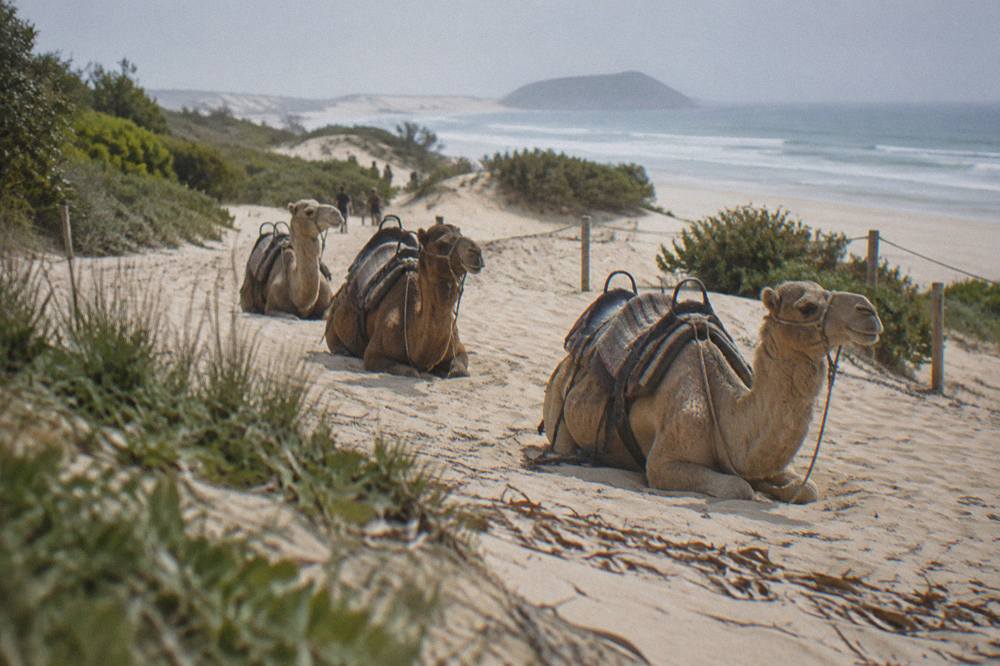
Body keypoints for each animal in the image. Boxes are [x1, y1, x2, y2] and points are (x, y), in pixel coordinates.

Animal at [325, 223, 484, 377]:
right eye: (441, 243)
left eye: (460, 234)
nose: (477, 252)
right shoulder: (373, 355)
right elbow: (412, 372)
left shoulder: (459, 350)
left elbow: (460, 371)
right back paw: (342, 350)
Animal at [542, 281, 883, 503]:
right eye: (807, 307)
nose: (869, 311)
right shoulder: (663, 464)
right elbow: (739, 488)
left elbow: (807, 489)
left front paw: (775, 489)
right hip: (558, 407)